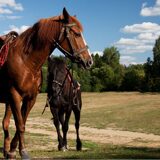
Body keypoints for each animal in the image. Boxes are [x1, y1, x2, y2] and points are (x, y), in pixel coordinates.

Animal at [0, 7, 92, 159]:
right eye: (76, 33)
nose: (89, 61)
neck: (26, 62)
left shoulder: (30, 99)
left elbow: (22, 123)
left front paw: (16, 150)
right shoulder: (15, 96)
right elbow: (20, 124)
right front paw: (19, 151)